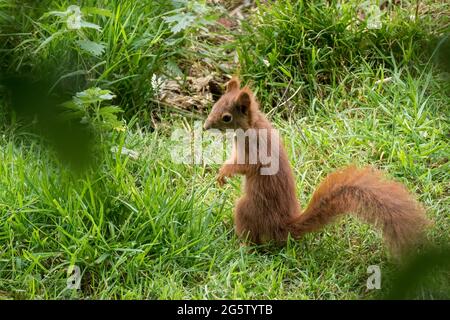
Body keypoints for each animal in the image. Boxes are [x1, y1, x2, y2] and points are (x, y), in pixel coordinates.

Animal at [203, 77, 428, 255]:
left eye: (226, 117)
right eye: (215, 105)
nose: (205, 127)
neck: (252, 127)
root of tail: (282, 227)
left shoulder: (255, 151)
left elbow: (243, 166)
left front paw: (223, 174)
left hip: (247, 208)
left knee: (254, 239)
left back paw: (240, 246)